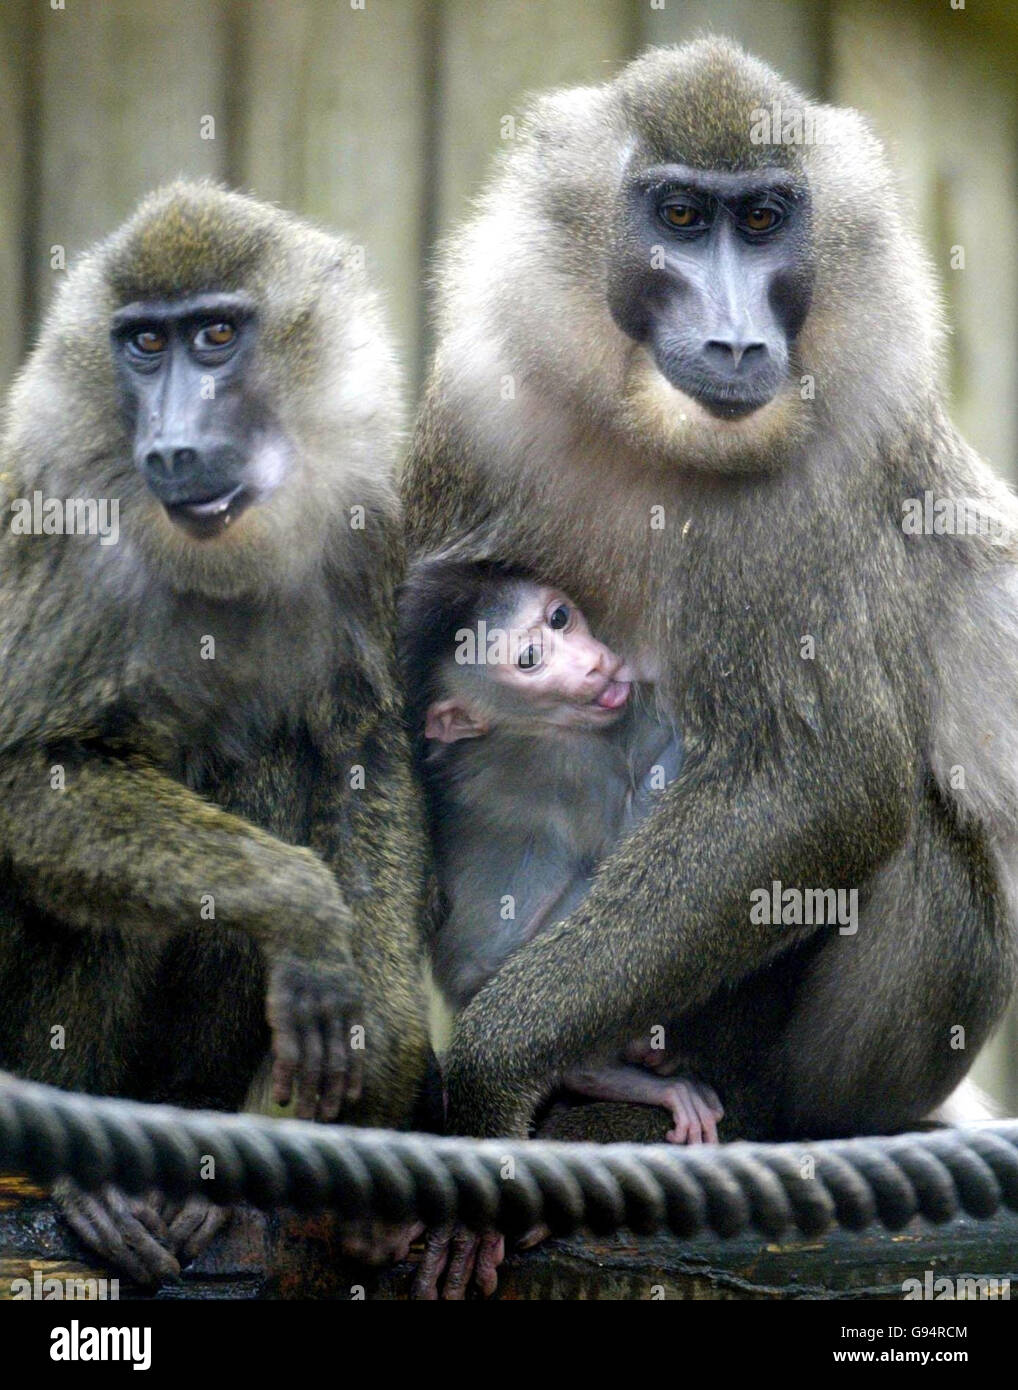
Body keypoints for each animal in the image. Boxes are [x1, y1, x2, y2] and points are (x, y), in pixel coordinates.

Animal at [0, 181, 433, 1285]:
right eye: (145, 345)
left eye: (218, 336)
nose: (173, 443)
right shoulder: (55, 514)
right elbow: (26, 778)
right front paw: (300, 909)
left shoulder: (362, 505)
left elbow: (361, 745)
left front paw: (384, 1054)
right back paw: (88, 1167)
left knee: (271, 762)